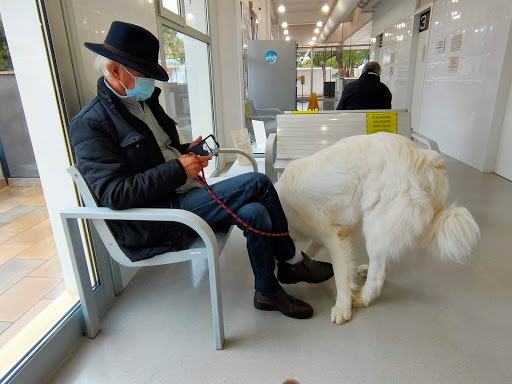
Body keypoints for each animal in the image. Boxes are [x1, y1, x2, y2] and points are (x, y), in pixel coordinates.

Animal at [276, 132, 480, 324]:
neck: (282, 205)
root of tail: (427, 157)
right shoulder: (340, 231)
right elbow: (313, 250)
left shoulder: (335, 236)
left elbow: (341, 275)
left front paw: (342, 306)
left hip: (376, 224)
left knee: (378, 272)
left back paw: (363, 297)